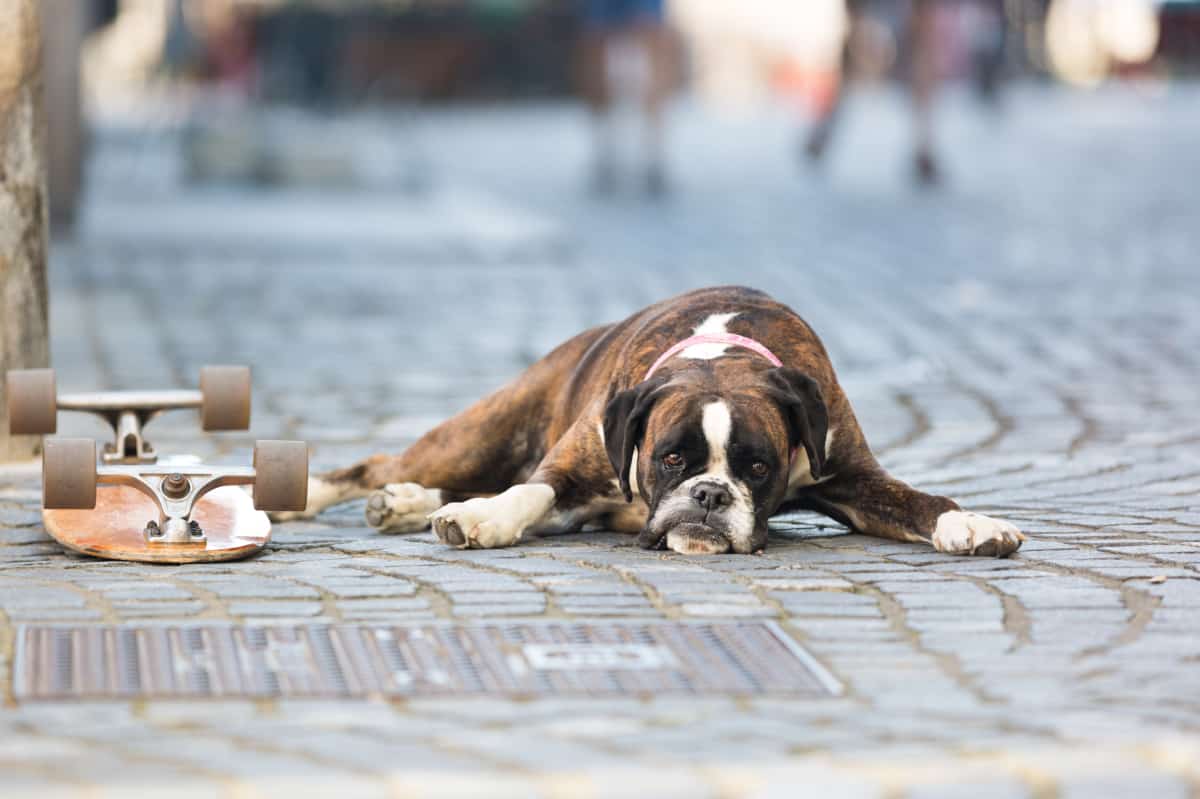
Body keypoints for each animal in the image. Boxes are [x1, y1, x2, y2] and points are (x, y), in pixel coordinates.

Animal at [280, 286, 1022, 554]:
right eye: (670, 458)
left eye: (758, 467)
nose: (710, 495)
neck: (722, 353)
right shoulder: (573, 464)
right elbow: (529, 491)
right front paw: (484, 520)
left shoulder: (855, 478)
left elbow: (919, 500)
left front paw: (971, 522)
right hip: (479, 435)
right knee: (384, 464)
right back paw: (321, 495)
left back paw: (404, 502)